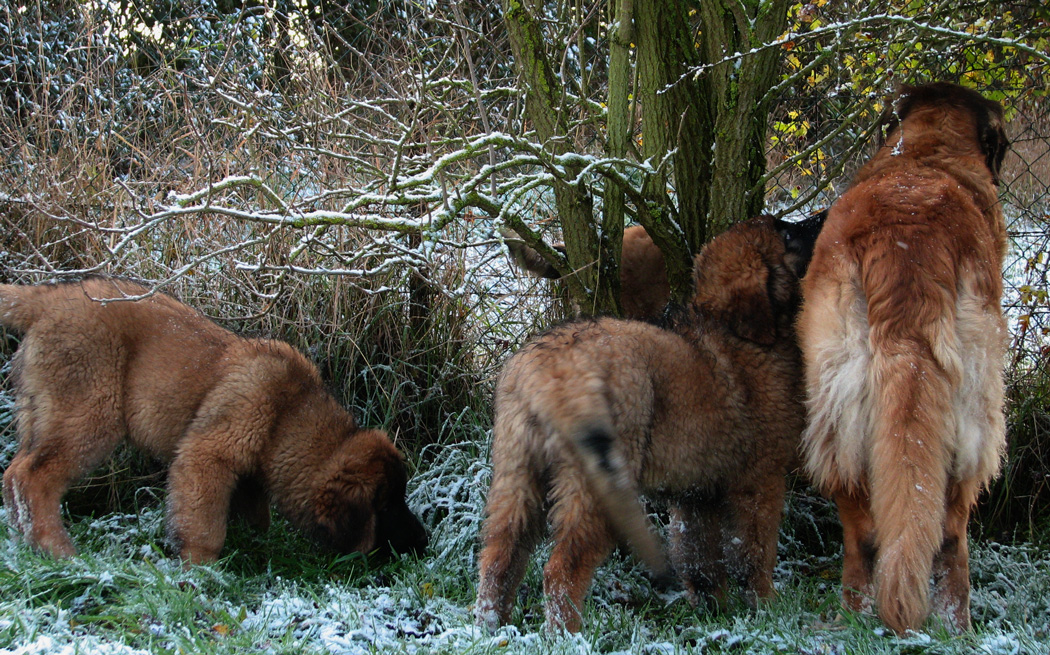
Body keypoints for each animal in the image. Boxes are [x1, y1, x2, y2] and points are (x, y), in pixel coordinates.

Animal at [1, 277, 426, 562]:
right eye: (387, 506)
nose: (424, 542)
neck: (288, 414)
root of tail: (48, 298)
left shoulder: (251, 477)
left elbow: (256, 518)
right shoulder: (207, 455)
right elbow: (206, 526)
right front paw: (200, 571)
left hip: (40, 412)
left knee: (13, 472)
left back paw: (26, 544)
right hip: (88, 413)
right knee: (33, 476)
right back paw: (60, 551)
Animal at [476, 214, 827, 629]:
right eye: (786, 233)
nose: (825, 216)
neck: (728, 325)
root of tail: (549, 368)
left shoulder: (698, 492)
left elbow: (699, 557)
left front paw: (713, 610)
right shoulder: (760, 481)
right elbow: (754, 552)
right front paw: (766, 608)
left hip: (516, 472)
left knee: (499, 556)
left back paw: (489, 626)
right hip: (596, 485)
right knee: (562, 570)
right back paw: (566, 634)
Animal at [797, 79, 1012, 634]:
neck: (925, 151)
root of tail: (909, 243)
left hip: (837, 394)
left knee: (864, 528)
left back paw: (853, 616)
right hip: (976, 405)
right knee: (952, 532)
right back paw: (958, 626)